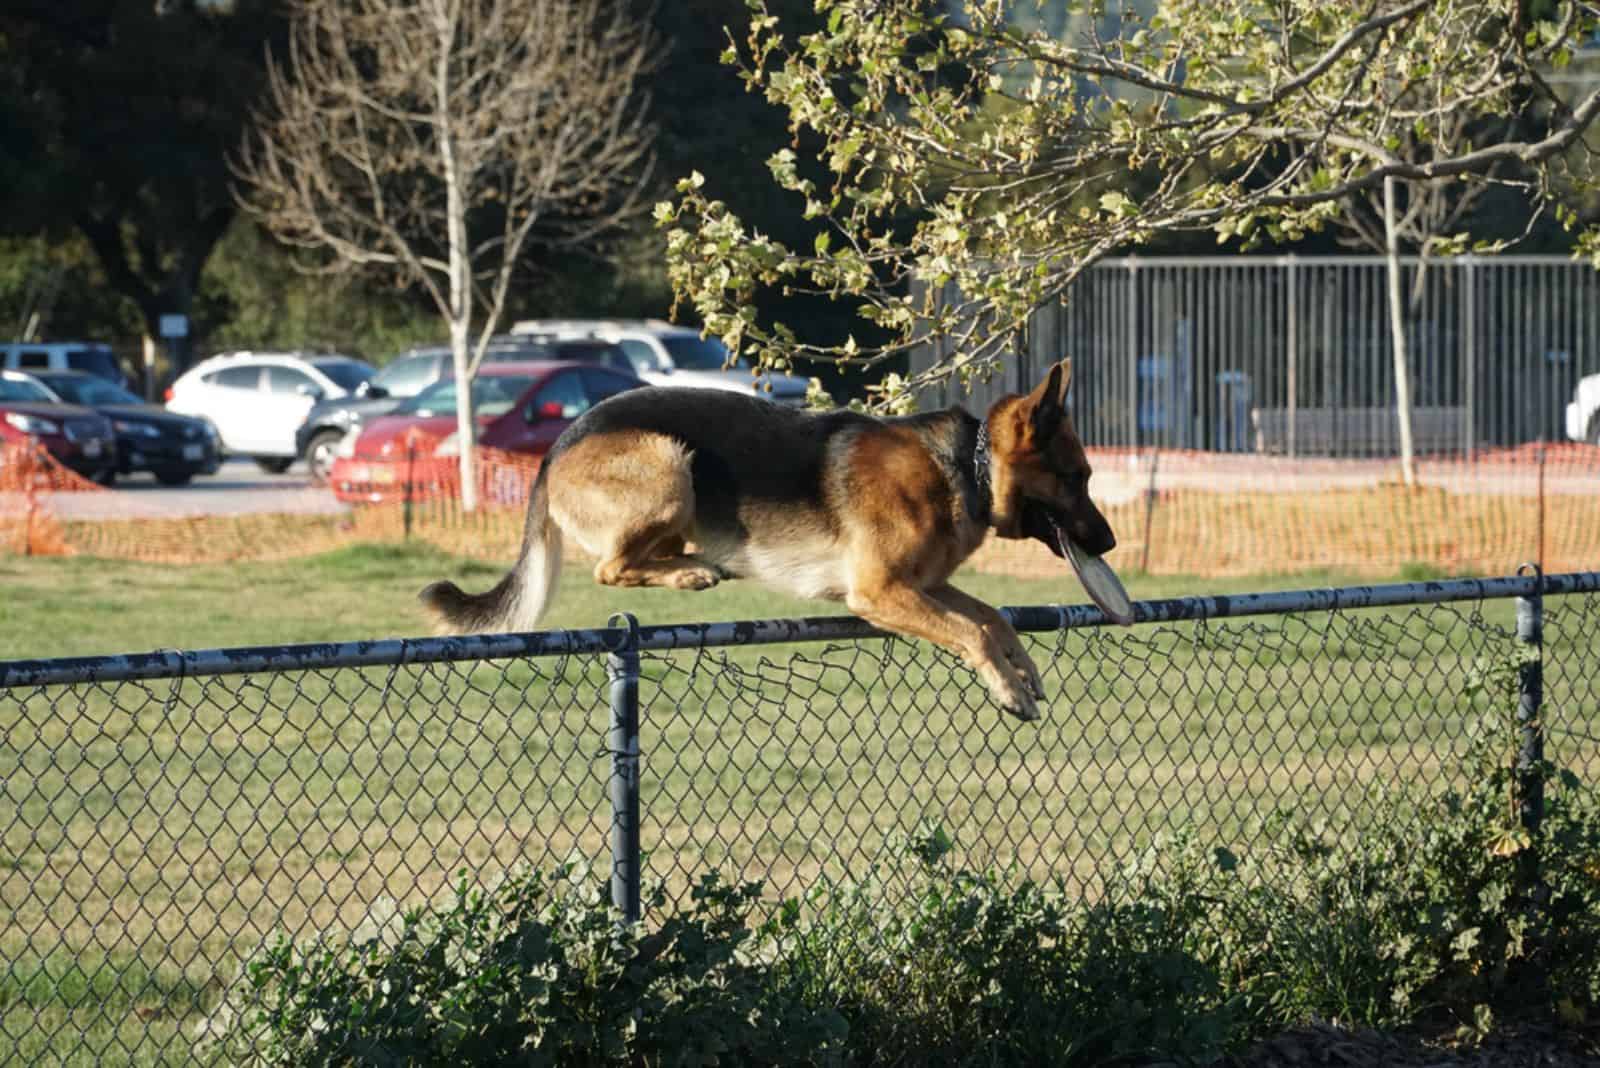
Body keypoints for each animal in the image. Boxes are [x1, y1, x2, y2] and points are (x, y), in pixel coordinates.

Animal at [422, 358, 1113, 716]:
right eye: (1077, 477)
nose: (1107, 544)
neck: (969, 466)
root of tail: (555, 447)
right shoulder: (881, 593)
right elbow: (974, 631)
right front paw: (1007, 688)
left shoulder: (923, 586)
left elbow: (994, 616)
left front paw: (1023, 670)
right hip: (669, 465)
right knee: (610, 568)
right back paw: (694, 569)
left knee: (639, 557)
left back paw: (693, 562)